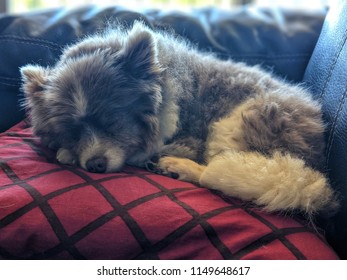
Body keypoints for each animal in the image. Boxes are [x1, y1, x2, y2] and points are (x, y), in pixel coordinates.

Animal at [19, 21, 340, 217]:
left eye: (113, 123)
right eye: (72, 132)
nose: (95, 165)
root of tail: (315, 161)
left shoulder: (186, 139)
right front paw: (68, 151)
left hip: (237, 120)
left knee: (220, 172)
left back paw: (177, 167)